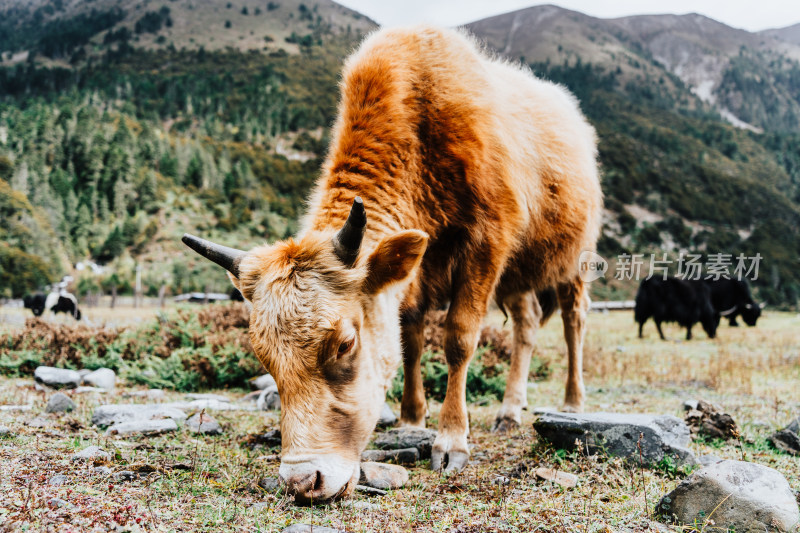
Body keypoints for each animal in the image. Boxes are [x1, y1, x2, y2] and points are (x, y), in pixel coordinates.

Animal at [183, 23, 600, 498]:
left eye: (345, 345)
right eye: (262, 355)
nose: (303, 480)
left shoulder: (485, 243)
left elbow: (458, 337)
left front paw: (451, 439)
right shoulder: (416, 274)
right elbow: (410, 339)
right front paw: (412, 417)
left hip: (573, 261)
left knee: (573, 320)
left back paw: (573, 401)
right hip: (517, 274)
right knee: (527, 324)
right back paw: (510, 410)